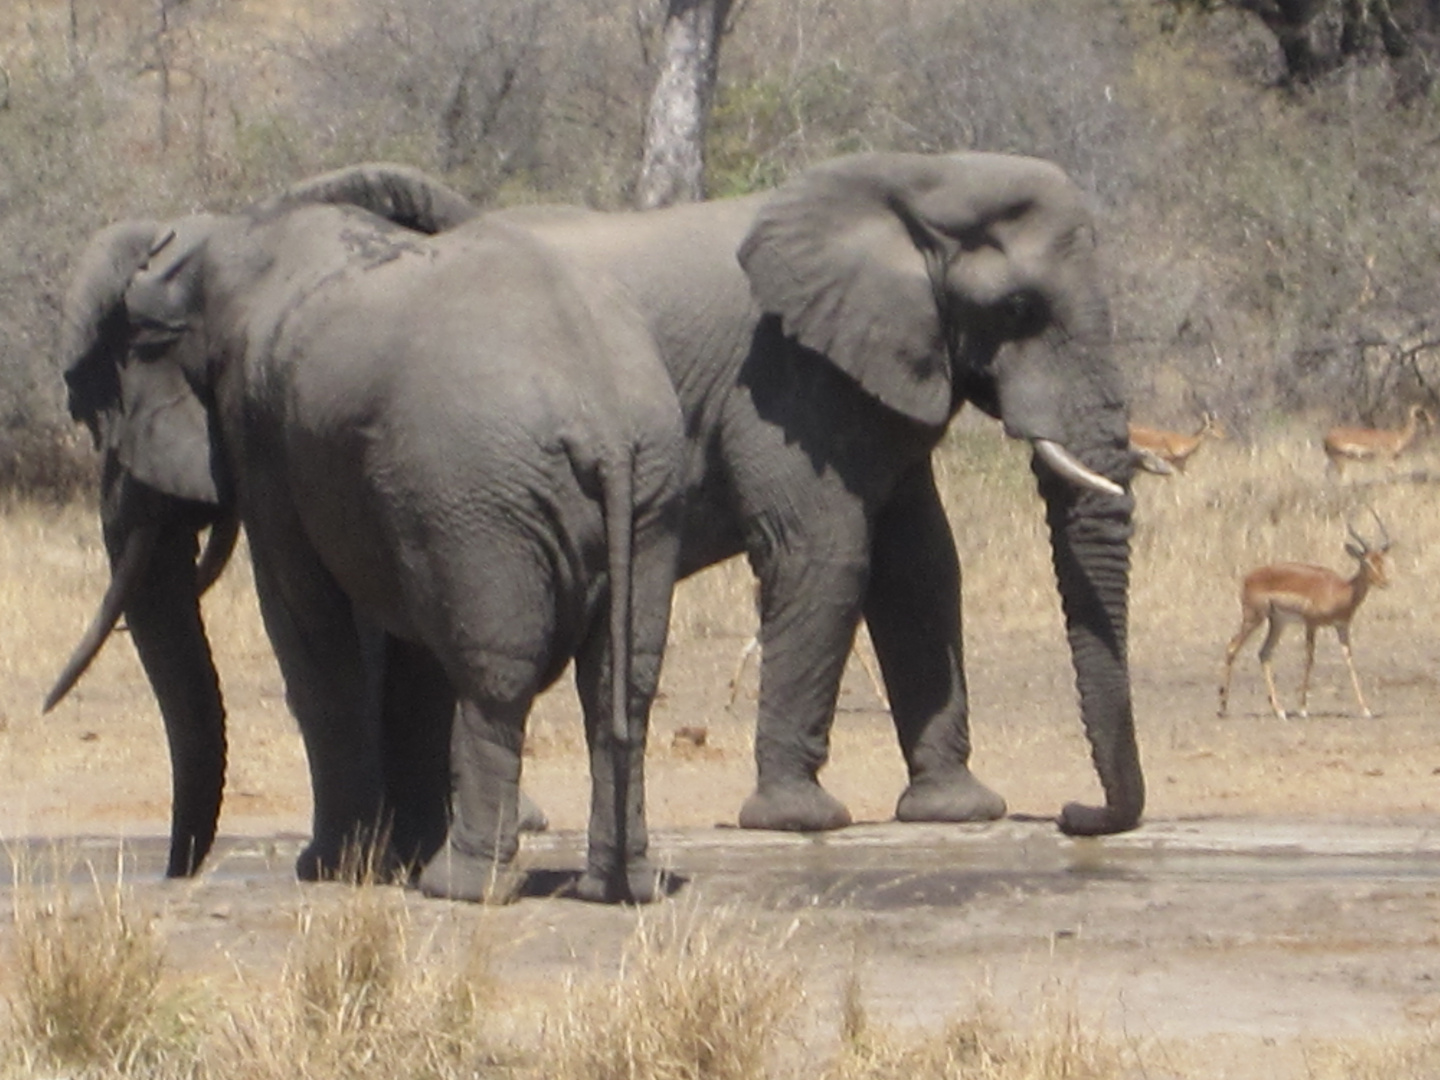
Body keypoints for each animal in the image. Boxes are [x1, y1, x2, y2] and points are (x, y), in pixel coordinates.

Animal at [47, 162, 688, 904]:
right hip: (641, 491)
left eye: (108, 417)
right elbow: (410, 661)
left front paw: (328, 867)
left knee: (494, 679)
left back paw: (460, 886)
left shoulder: (267, 439)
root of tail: (603, 422)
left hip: (477, 493)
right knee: (623, 679)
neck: (221, 240)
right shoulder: (404, 502)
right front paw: (390, 859)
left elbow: (305, 625)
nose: (173, 872)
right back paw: (616, 888)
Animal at [486, 150, 1146, 835]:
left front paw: (956, 810)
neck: (918, 178)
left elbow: (922, 570)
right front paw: (799, 819)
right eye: (1017, 308)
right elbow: (827, 556)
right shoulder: (781, 378)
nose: (1074, 814)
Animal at [1215, 518, 1393, 722]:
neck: (1341, 590)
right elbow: (1309, 659)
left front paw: (1365, 709)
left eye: (1381, 561)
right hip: (1254, 618)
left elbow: (1349, 660)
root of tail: (1248, 577)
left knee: (1264, 653)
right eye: (1366, 562)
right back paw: (1223, 709)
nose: (1384, 582)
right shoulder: (1311, 623)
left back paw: (1279, 710)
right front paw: (1302, 709)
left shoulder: (1342, 626)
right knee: (1232, 646)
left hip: (1278, 623)